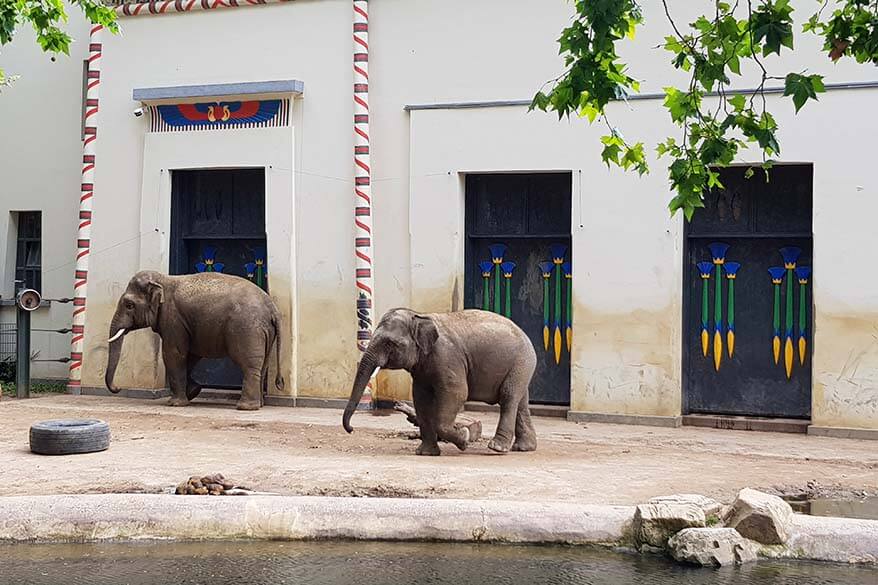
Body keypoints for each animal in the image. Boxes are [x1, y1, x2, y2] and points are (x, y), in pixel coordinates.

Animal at [105, 270, 286, 410]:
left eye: (129, 305)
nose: (118, 387)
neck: (163, 279)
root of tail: (272, 308)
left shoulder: (173, 319)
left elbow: (173, 354)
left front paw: (175, 403)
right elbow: (190, 355)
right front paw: (193, 391)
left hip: (247, 329)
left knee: (249, 365)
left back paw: (246, 407)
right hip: (265, 332)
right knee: (263, 365)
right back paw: (260, 405)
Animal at [342, 308, 536, 454]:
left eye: (390, 343)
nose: (351, 429)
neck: (419, 316)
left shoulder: (447, 357)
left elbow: (457, 393)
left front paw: (464, 438)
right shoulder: (422, 368)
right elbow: (421, 398)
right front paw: (425, 453)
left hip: (520, 362)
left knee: (508, 397)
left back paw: (497, 448)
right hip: (521, 367)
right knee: (520, 402)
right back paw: (524, 448)